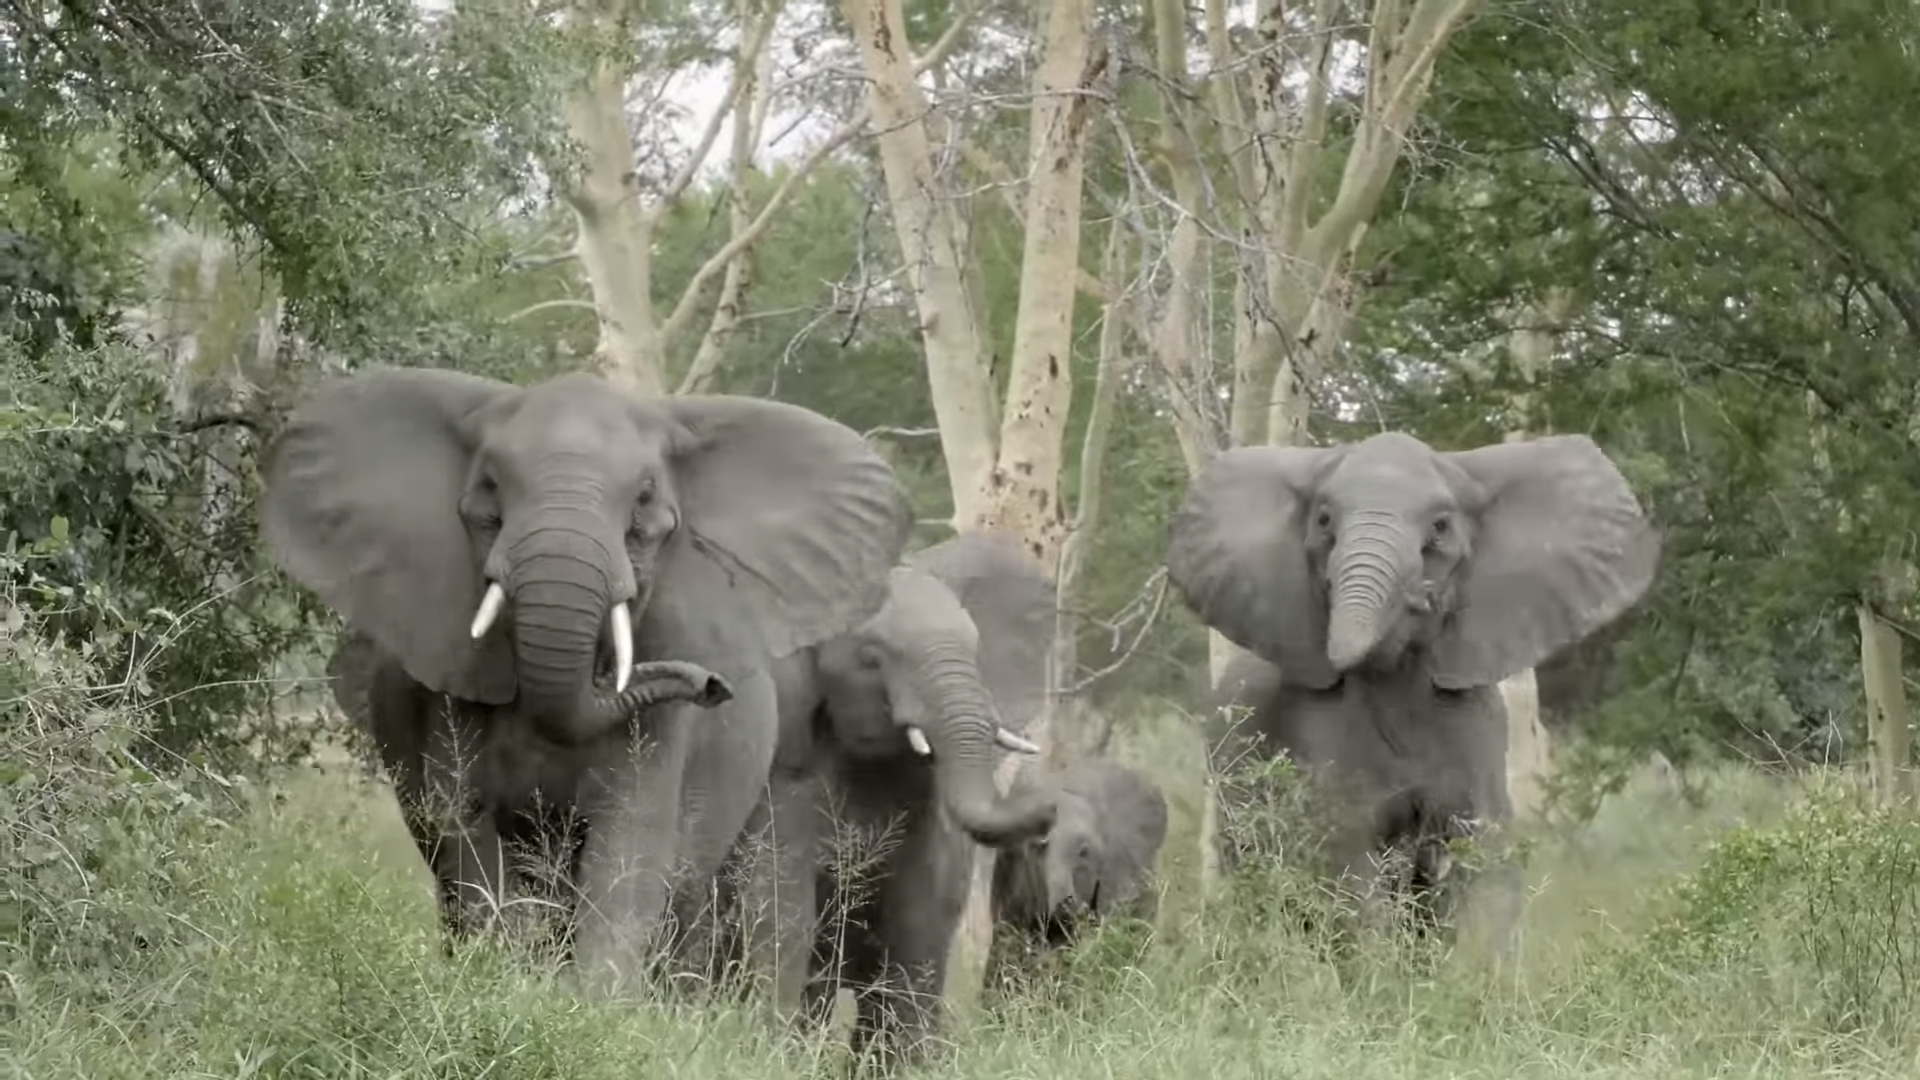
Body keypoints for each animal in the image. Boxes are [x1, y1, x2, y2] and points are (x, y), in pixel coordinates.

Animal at [261, 367, 913, 988]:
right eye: (490, 492)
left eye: (644, 503)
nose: (712, 685)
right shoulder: (448, 684)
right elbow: (468, 831)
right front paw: (508, 983)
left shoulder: (662, 717)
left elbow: (628, 848)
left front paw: (591, 1005)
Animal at [710, 530, 1060, 1069]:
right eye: (871, 658)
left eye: (977, 651)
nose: (1051, 811)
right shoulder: (782, 781)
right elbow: (781, 908)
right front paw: (777, 1055)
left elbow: (921, 919)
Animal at [1165, 431, 1658, 947]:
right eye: (1323, 521)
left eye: (1440, 527)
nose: (1421, 595)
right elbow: (1348, 868)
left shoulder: (1477, 729)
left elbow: (1483, 857)